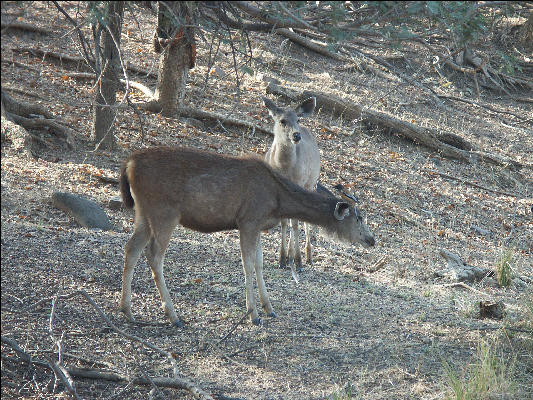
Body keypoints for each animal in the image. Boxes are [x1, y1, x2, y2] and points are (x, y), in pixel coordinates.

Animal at [119, 147, 374, 328]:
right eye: (359, 217)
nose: (372, 240)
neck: (277, 201)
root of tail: (129, 164)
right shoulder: (248, 220)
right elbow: (248, 264)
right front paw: (253, 314)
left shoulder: (257, 224)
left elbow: (259, 263)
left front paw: (269, 307)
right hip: (165, 211)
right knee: (154, 255)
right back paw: (173, 316)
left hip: (144, 212)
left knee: (131, 248)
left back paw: (127, 311)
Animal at [262, 95, 320, 276]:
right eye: (282, 121)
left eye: (298, 119)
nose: (296, 135)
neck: (285, 168)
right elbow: (283, 222)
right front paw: (282, 260)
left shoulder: (299, 183)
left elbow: (295, 223)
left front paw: (298, 261)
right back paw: (289, 257)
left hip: (311, 182)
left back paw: (307, 256)